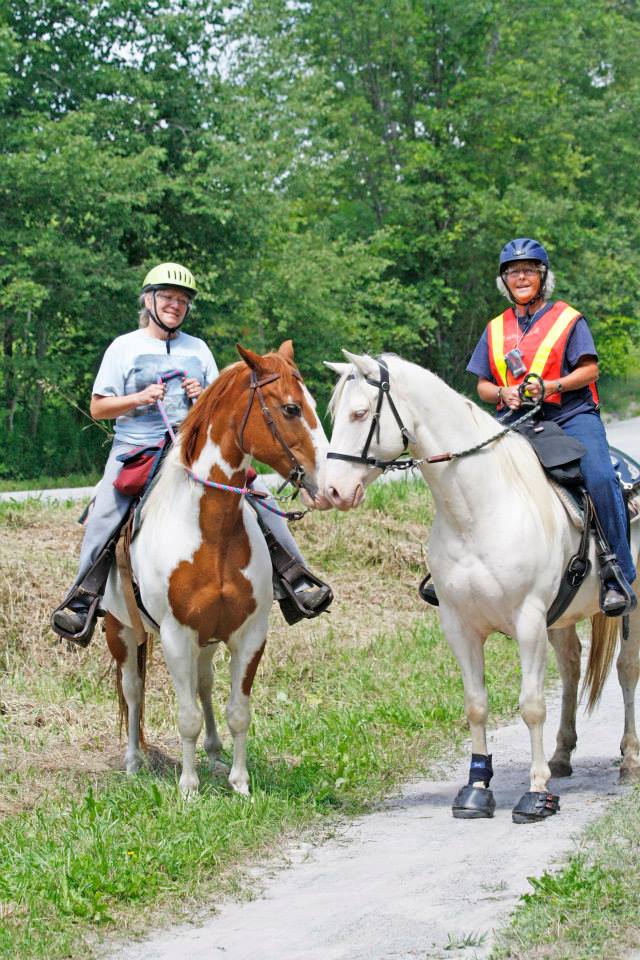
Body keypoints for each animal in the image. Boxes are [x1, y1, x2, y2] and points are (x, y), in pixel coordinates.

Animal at [102, 341, 327, 796]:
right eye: (291, 408)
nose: (328, 481)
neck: (212, 531)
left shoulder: (250, 634)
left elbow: (237, 710)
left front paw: (240, 783)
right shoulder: (175, 635)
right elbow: (185, 715)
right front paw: (188, 789)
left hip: (205, 640)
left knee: (203, 683)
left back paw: (215, 754)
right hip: (122, 631)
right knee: (133, 689)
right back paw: (134, 762)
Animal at [322, 350, 640, 823]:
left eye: (360, 413)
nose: (331, 491)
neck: (478, 509)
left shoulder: (528, 621)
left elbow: (531, 705)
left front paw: (536, 793)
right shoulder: (459, 625)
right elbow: (476, 704)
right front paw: (476, 788)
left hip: (632, 606)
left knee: (626, 670)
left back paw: (629, 761)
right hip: (562, 619)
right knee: (570, 669)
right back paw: (561, 756)